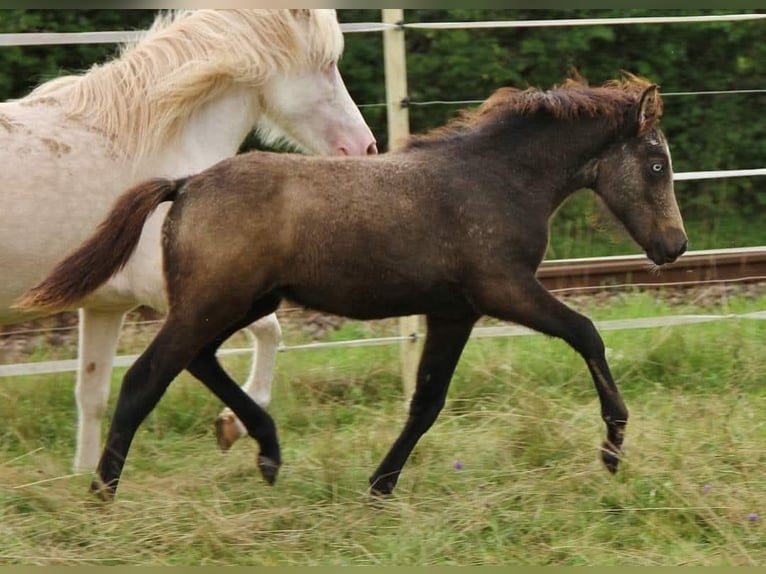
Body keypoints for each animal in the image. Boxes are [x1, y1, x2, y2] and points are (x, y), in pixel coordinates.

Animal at [0, 9, 377, 473]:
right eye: (327, 64)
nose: (365, 147)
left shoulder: (104, 306)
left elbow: (91, 396)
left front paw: (82, 478)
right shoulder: (188, 293)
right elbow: (270, 331)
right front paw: (233, 425)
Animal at [17, 73, 688, 501]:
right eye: (657, 165)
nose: (674, 247)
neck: (496, 178)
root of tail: (187, 184)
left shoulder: (454, 312)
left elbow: (426, 401)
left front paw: (380, 485)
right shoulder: (504, 289)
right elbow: (587, 332)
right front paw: (612, 448)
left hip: (237, 302)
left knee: (199, 361)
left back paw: (267, 452)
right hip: (212, 303)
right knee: (144, 378)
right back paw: (103, 492)